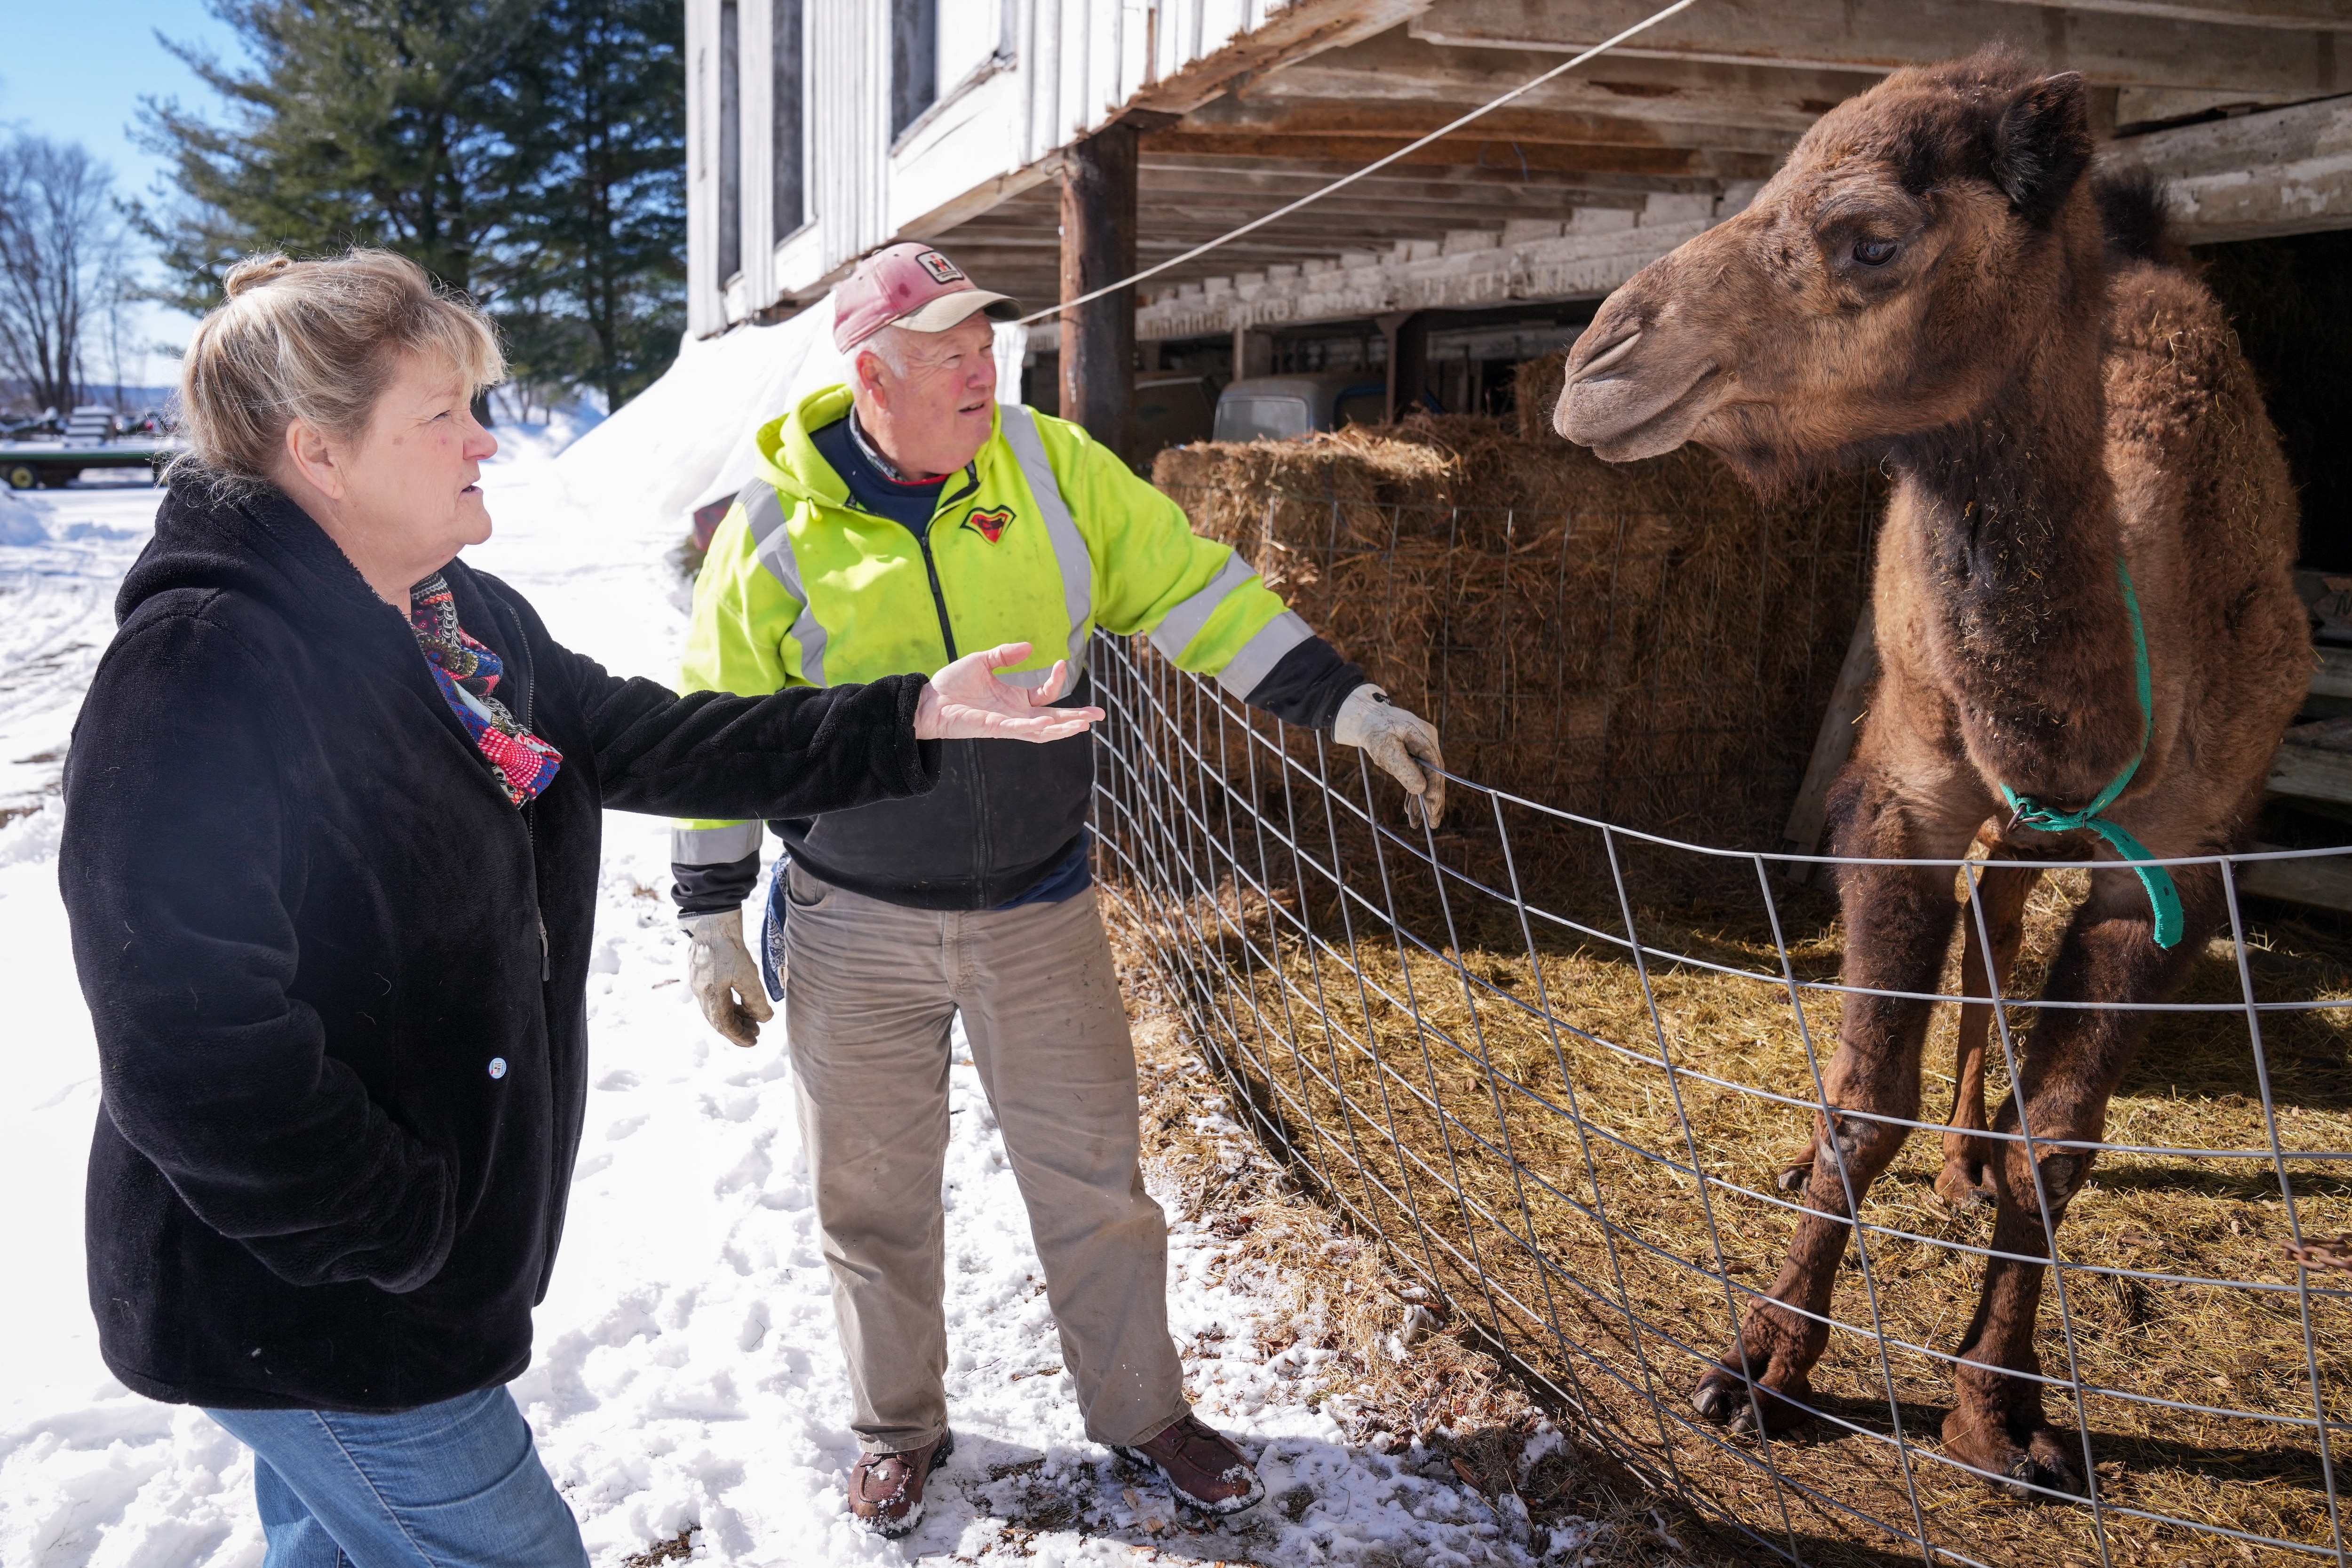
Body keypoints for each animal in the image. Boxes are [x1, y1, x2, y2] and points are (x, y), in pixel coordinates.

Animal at [1555, 48, 2308, 1499]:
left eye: (1872, 236)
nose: (1599, 358)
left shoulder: (2177, 856)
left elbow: (2061, 1141)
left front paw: (2000, 1411)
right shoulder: (1904, 793)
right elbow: (1865, 1100)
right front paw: (1758, 1367)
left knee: (1998, 937)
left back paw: (1968, 1168)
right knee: (1968, 945)